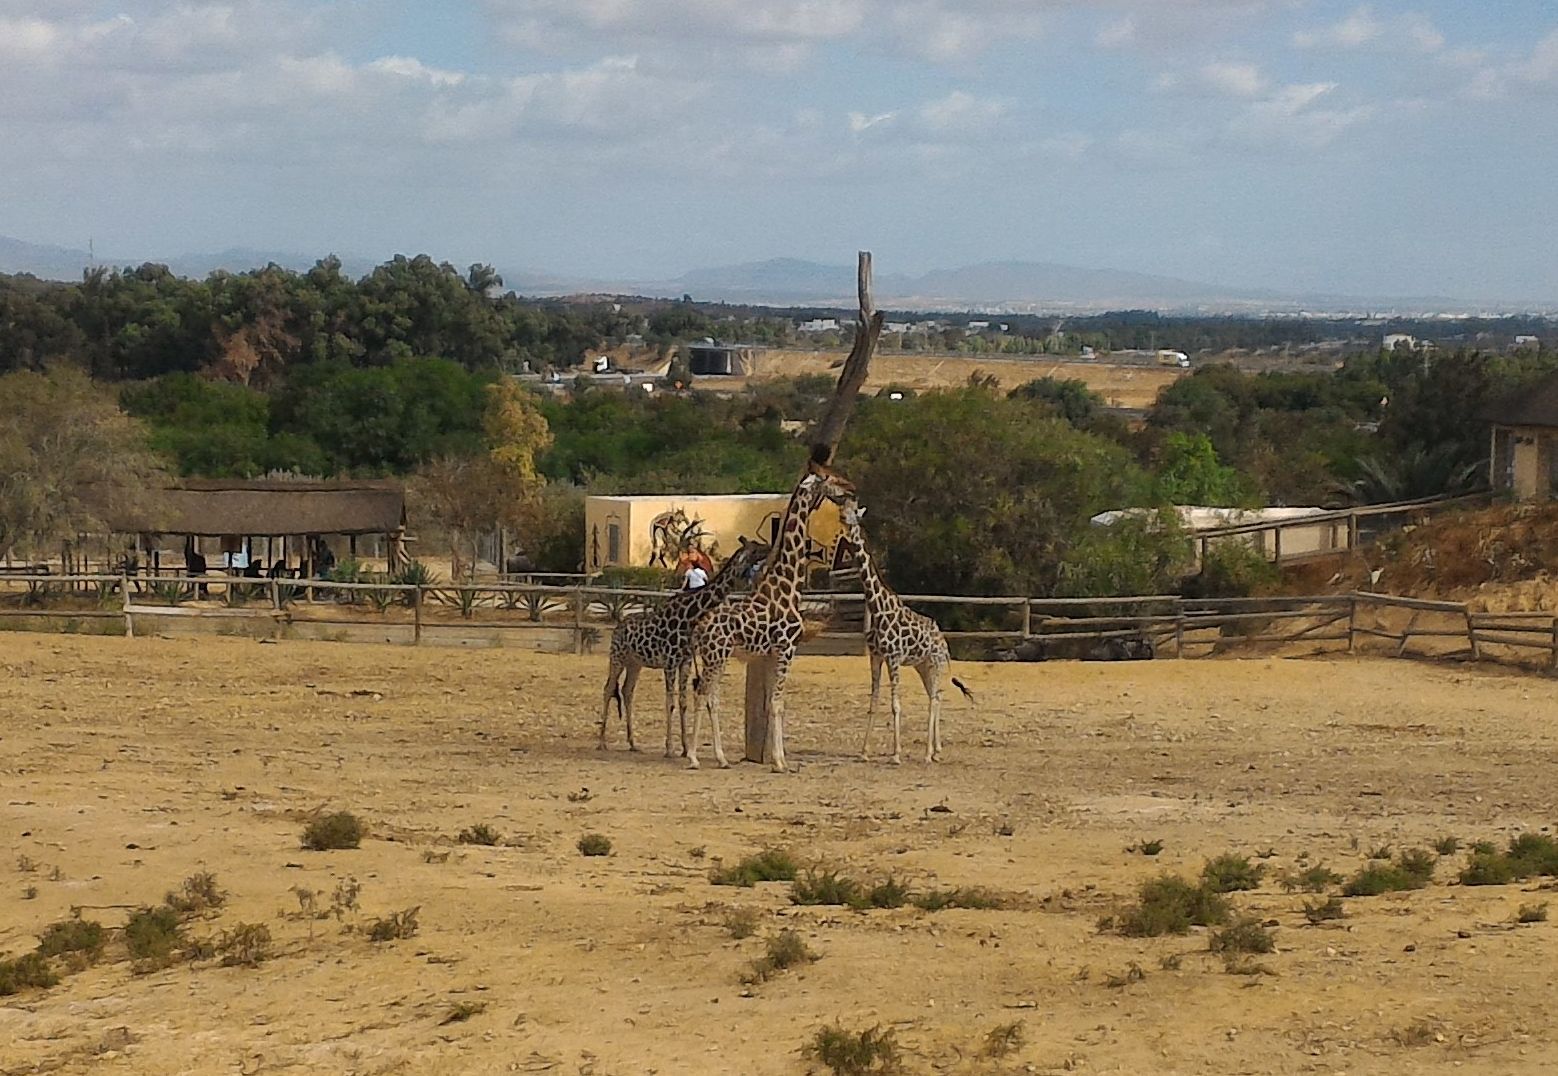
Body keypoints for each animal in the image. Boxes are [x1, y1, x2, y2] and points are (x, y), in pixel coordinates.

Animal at [595, 538, 766, 756]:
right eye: (755, 549)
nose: (769, 547)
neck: (688, 617)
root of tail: (618, 626)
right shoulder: (669, 662)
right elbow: (670, 702)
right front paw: (669, 748)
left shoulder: (684, 662)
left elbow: (683, 702)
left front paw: (684, 748)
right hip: (617, 657)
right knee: (608, 688)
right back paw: (602, 742)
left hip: (635, 663)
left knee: (627, 691)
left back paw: (633, 743)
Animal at [688, 457, 860, 769]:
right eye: (830, 478)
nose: (851, 487)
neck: (787, 583)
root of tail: (699, 628)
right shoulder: (787, 648)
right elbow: (779, 703)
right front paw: (781, 762)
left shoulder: (769, 653)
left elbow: (772, 703)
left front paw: (777, 758)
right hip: (716, 655)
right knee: (702, 693)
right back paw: (694, 757)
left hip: (716, 656)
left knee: (712, 697)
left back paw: (721, 757)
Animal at [841, 501, 972, 763]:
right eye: (842, 510)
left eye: (854, 515)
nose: (844, 520)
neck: (877, 607)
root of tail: (944, 642)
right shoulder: (876, 657)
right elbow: (873, 702)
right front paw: (864, 752)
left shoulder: (893, 658)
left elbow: (896, 705)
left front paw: (896, 754)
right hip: (923, 665)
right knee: (935, 696)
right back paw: (936, 750)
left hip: (935, 664)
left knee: (935, 698)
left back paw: (928, 753)